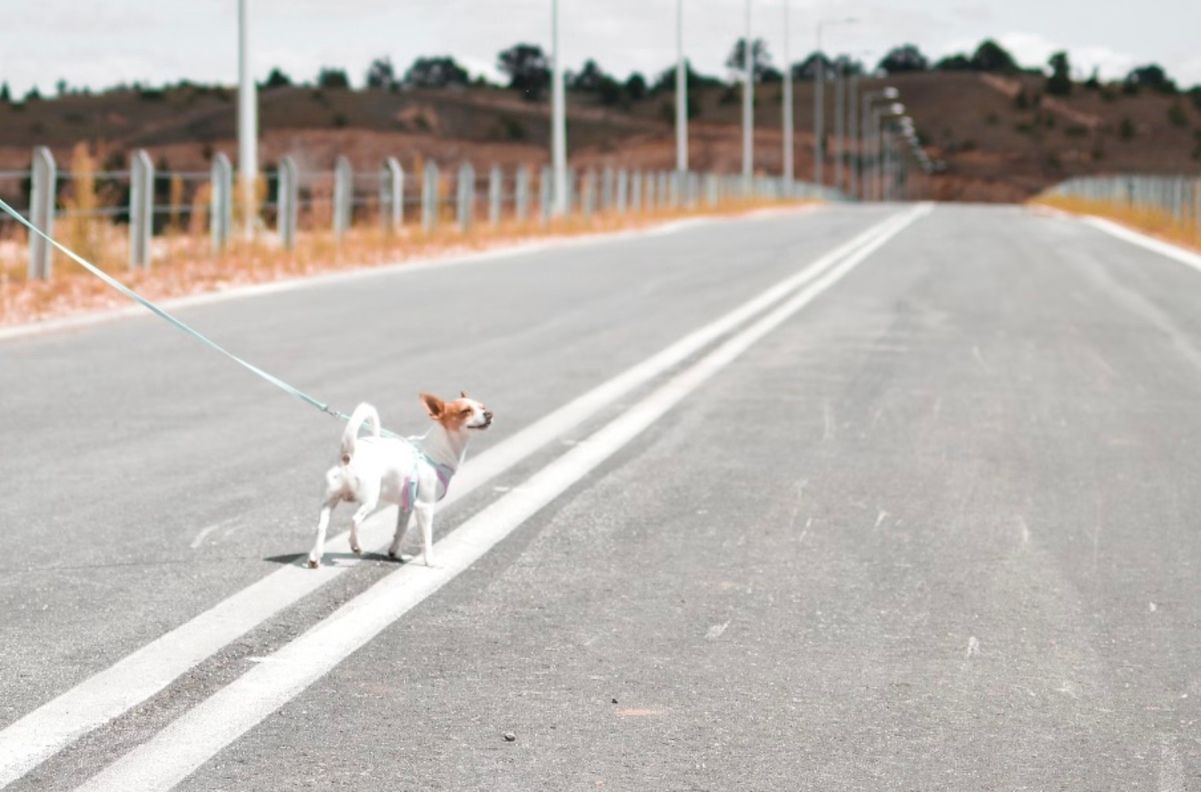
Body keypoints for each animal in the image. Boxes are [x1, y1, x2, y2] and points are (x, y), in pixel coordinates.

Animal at [305, 391, 492, 569]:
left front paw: (395, 554)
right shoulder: (424, 507)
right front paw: (430, 562)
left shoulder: (406, 507)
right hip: (369, 500)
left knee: (321, 527)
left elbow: (400, 531)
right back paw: (356, 546)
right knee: (355, 520)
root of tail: (348, 455)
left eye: (482, 407)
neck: (437, 451)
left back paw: (315, 557)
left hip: (329, 501)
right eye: (465, 411)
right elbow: (426, 539)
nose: (489, 414)